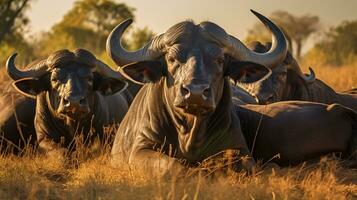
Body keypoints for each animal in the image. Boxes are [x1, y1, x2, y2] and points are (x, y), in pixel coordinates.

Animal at [108, 10, 286, 174]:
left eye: (219, 60)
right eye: (171, 59)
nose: (195, 92)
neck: (190, 134)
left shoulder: (240, 148)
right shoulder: (140, 149)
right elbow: (173, 165)